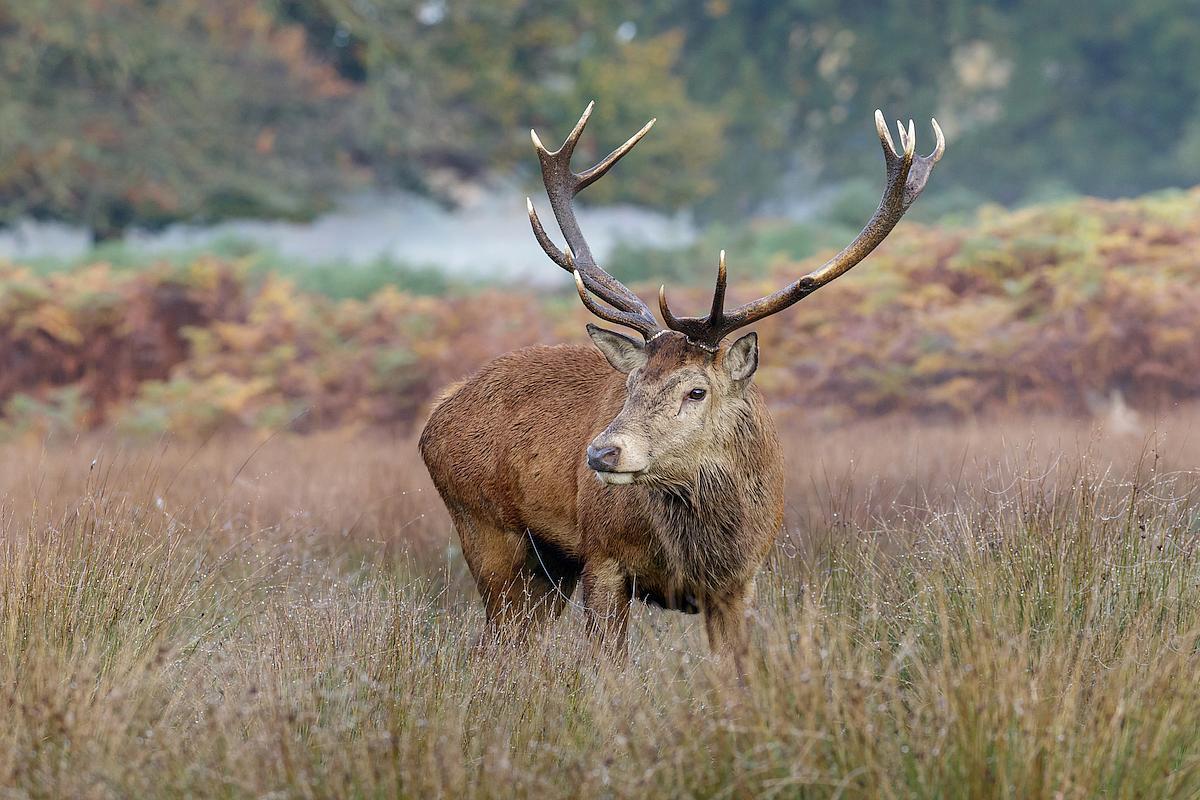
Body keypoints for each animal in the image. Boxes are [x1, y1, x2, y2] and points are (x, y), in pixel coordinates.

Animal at [419, 103, 944, 677]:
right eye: (630, 383)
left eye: (696, 392)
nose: (601, 453)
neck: (702, 547)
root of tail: (434, 420)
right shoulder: (603, 557)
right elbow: (610, 670)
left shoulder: (740, 582)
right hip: (487, 530)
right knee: (492, 644)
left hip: (548, 569)